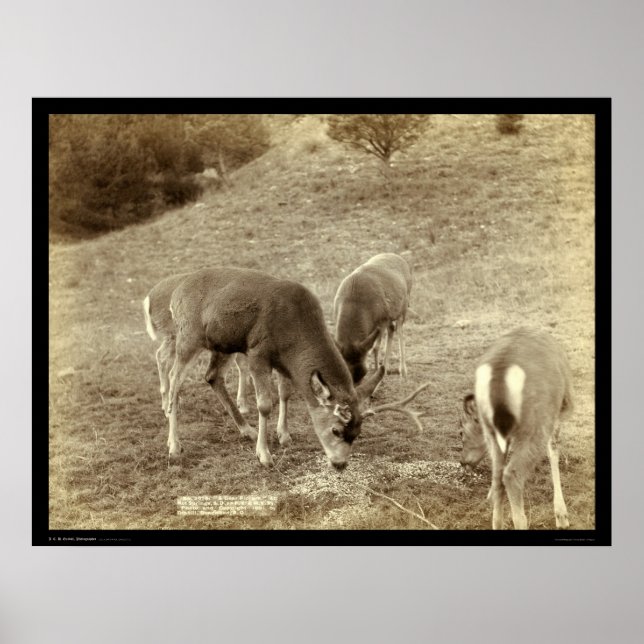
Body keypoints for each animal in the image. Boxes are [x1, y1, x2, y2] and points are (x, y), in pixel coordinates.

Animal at [143, 267, 431, 469]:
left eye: (358, 432)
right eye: (336, 429)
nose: (340, 464)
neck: (293, 332)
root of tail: (176, 293)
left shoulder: (283, 362)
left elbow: (285, 394)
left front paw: (283, 435)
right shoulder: (258, 352)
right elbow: (264, 404)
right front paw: (264, 454)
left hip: (221, 344)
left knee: (212, 376)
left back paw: (245, 429)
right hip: (188, 337)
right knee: (175, 382)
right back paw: (174, 444)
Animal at [333, 253, 412, 385]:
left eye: (364, 372)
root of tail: (401, 258)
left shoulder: (382, 319)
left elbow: (375, 347)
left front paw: (377, 377)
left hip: (404, 305)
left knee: (400, 329)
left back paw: (402, 372)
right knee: (392, 329)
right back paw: (387, 368)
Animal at [459, 327, 574, 530]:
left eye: (462, 432)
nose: (462, 461)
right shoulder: (556, 413)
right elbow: (553, 452)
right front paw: (561, 516)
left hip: (495, 433)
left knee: (498, 476)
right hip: (535, 424)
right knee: (512, 475)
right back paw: (522, 521)